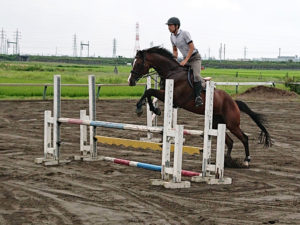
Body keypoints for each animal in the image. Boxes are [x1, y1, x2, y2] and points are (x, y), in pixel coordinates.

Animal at [127, 46, 272, 166]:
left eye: (138, 63)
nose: (130, 81)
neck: (172, 72)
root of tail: (234, 102)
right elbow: (148, 92)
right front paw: (144, 107)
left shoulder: (175, 98)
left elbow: (149, 91)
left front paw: (149, 109)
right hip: (217, 123)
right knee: (229, 141)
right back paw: (226, 161)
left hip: (232, 124)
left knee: (244, 138)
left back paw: (246, 160)